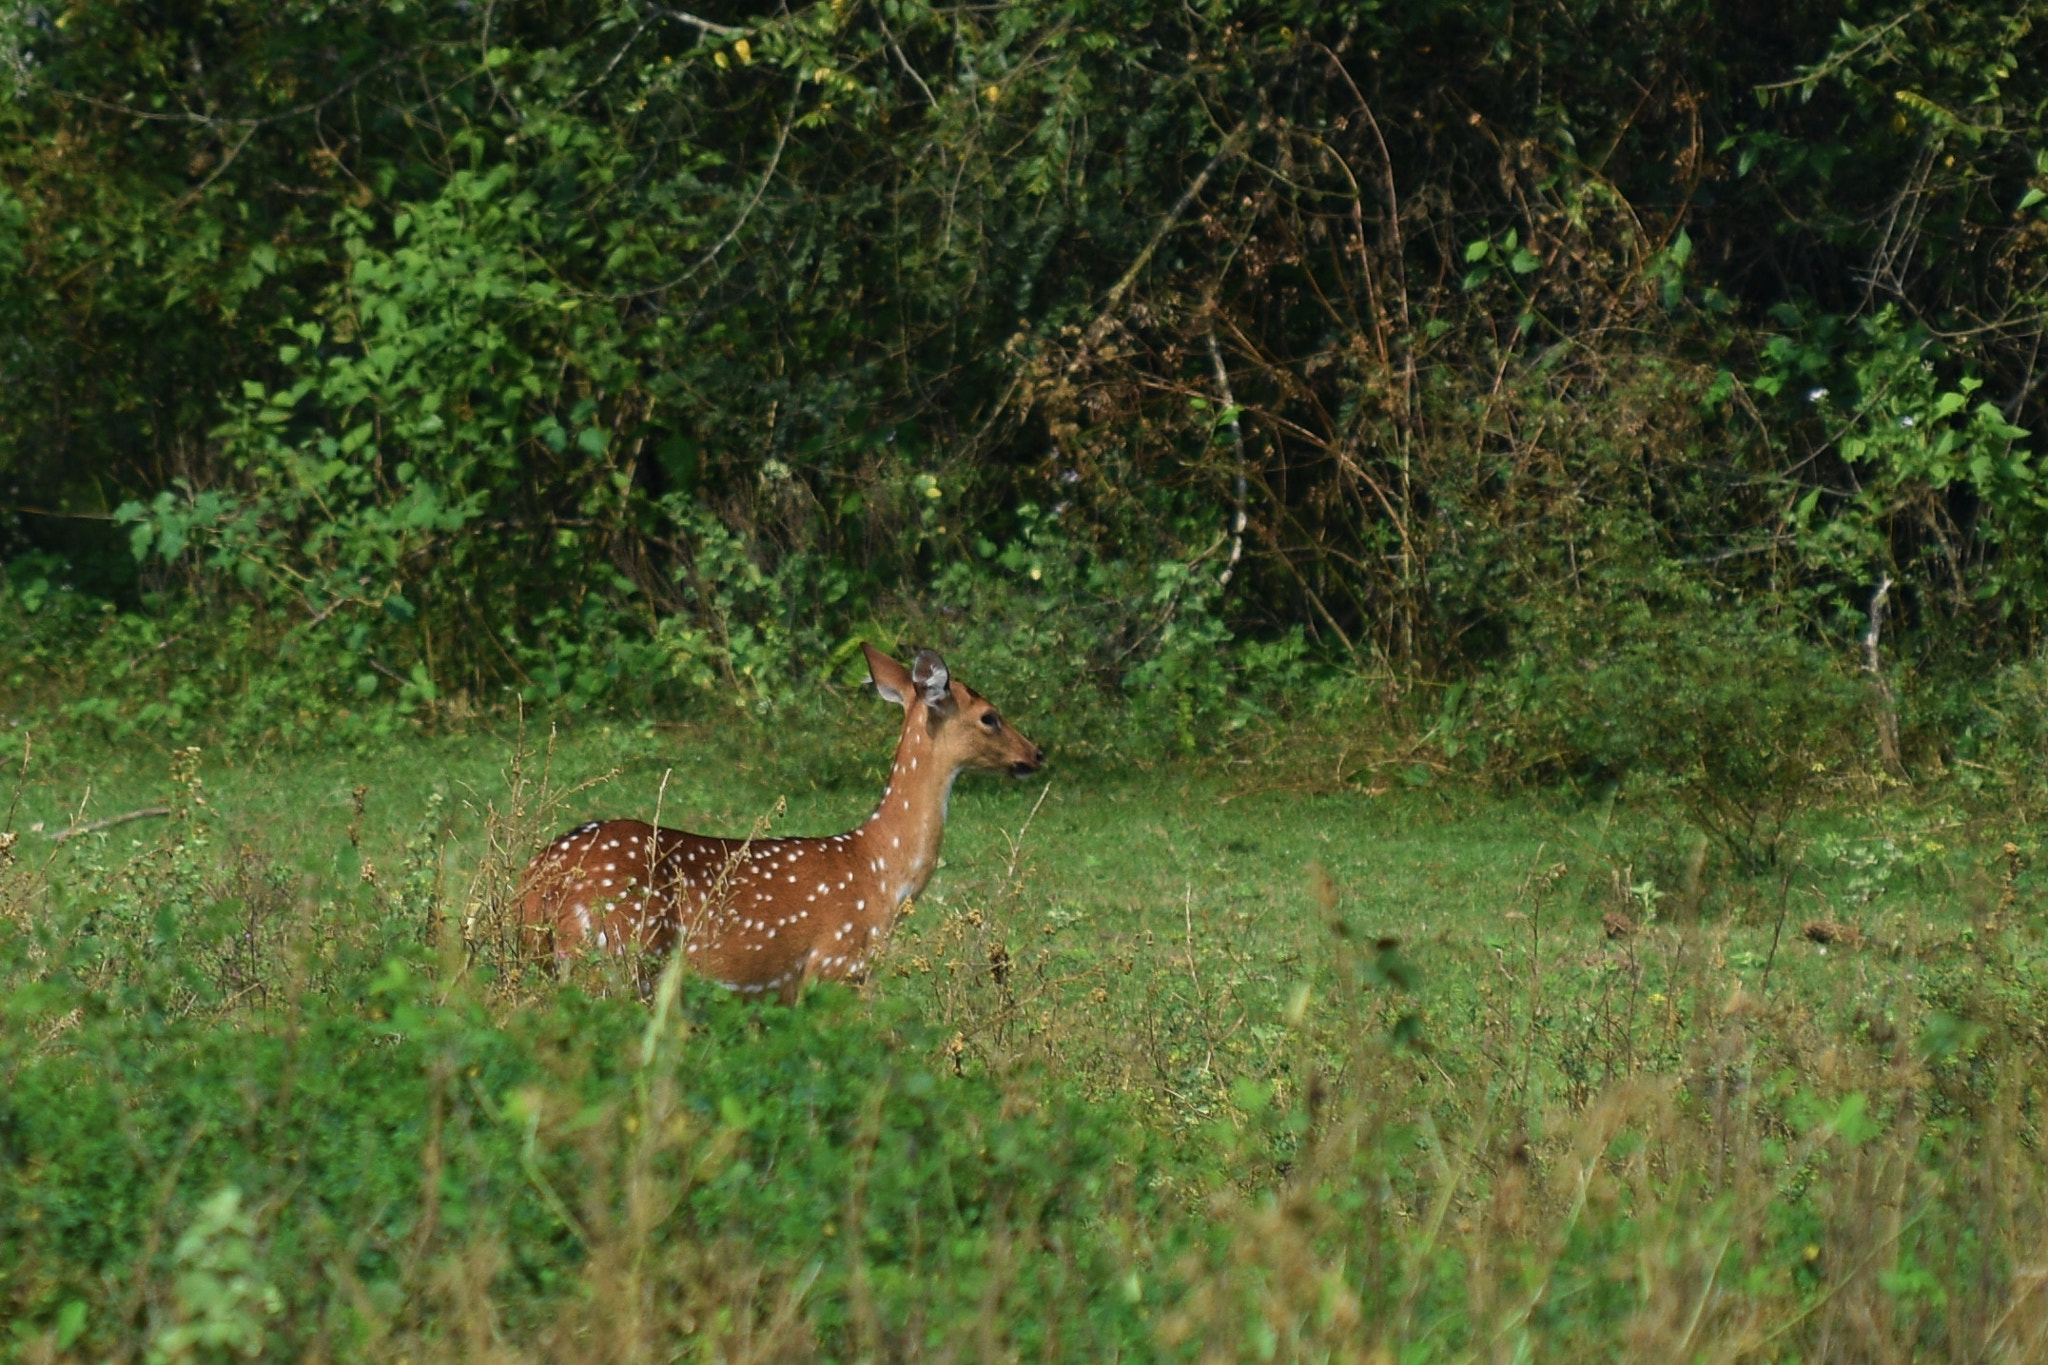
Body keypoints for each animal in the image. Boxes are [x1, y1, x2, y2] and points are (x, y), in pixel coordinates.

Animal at [518, 644, 1044, 1003]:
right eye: (990, 716)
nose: (1036, 753)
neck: (881, 872)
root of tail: (537, 881)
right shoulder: (834, 967)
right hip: (617, 957)